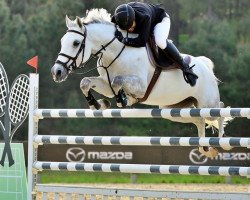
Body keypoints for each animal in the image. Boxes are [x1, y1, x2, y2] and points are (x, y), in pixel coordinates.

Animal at [50, 8, 230, 158]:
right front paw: (98, 104)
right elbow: (86, 82)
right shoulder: (106, 85)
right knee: (199, 120)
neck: (116, 52)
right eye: (62, 41)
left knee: (220, 110)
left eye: (75, 43)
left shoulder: (140, 86)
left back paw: (223, 141)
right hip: (174, 110)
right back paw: (205, 148)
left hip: (207, 103)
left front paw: (124, 100)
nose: (56, 72)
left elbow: (117, 81)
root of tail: (205, 66)